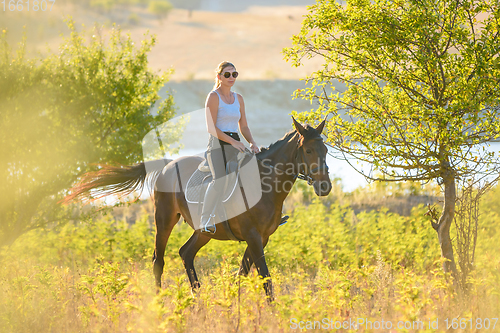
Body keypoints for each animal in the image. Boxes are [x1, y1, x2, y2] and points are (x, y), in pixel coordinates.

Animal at [64, 117, 330, 300]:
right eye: (308, 150)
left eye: (326, 150)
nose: (325, 186)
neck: (264, 184)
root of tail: (168, 164)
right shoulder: (253, 237)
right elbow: (265, 278)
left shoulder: (261, 238)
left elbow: (241, 274)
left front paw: (232, 304)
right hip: (164, 219)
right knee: (158, 260)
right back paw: (160, 303)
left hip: (204, 231)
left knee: (186, 253)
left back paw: (197, 296)